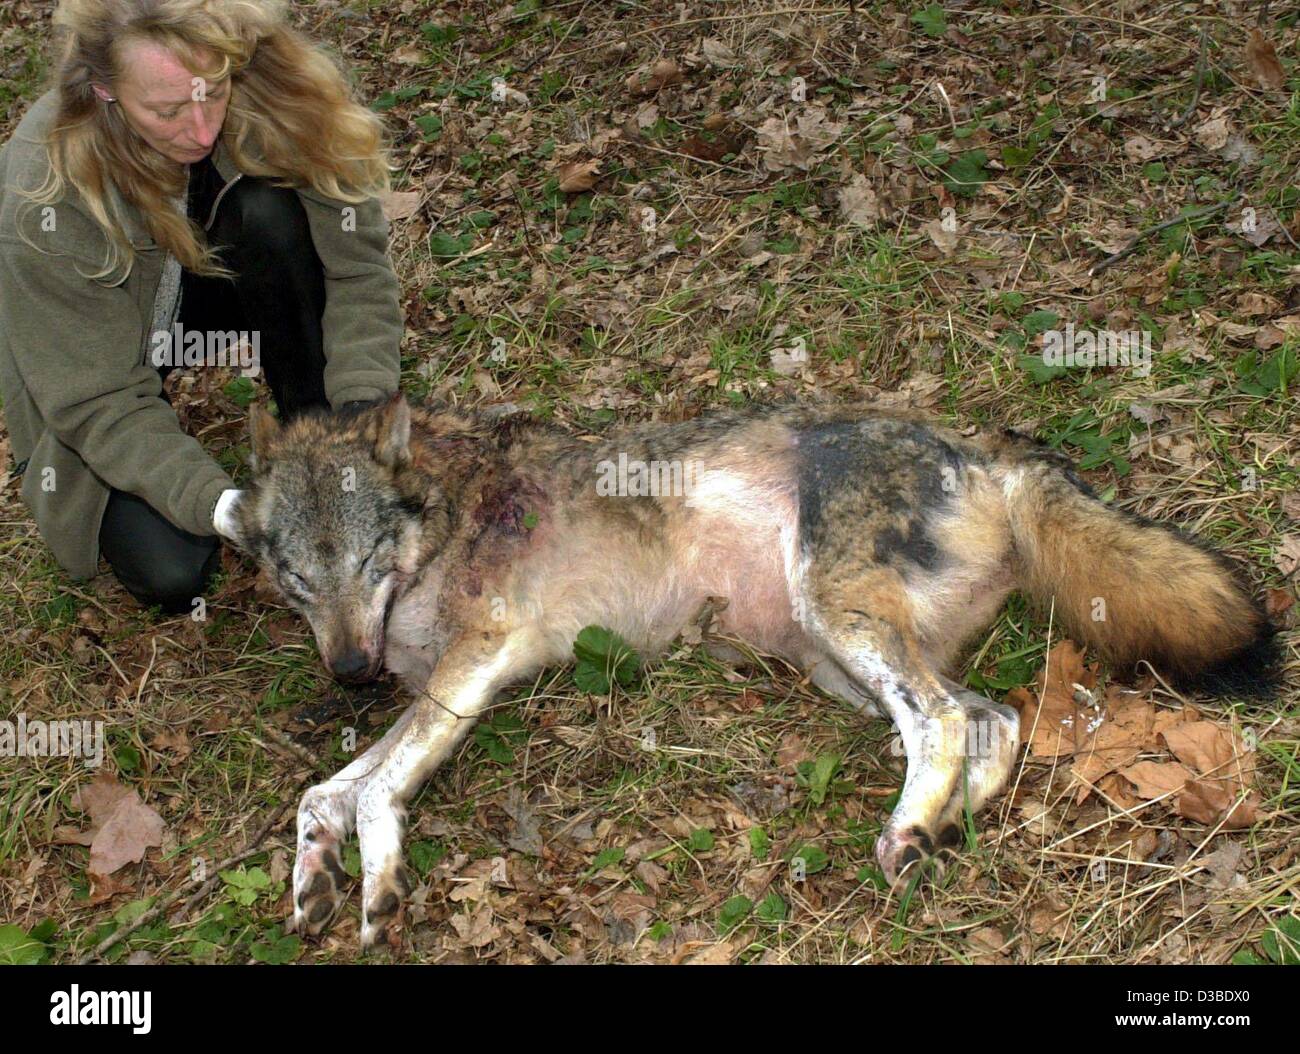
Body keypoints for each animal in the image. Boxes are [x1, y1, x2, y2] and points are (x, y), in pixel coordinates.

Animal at [228, 392, 1274, 946]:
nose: (350, 672)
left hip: (841, 628)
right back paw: (943, 829)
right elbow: (323, 793)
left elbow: (371, 792)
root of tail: (986, 453)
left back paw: (906, 833)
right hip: (839, 664)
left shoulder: (477, 660)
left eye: (368, 563)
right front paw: (314, 878)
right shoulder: (436, 690)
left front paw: (376, 888)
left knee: (942, 721)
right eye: (298, 580)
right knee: (995, 720)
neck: (447, 519)